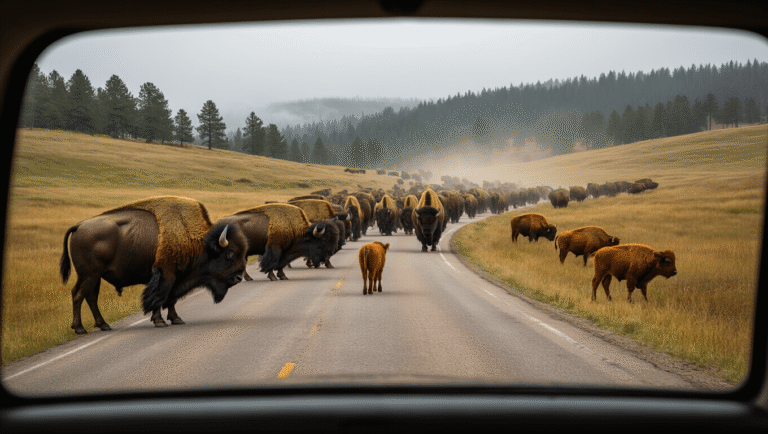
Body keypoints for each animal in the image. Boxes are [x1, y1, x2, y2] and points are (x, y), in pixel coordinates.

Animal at [60, 196, 248, 333]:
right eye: (230, 254)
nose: (239, 277)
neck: (198, 241)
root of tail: (79, 226)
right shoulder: (167, 274)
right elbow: (161, 297)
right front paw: (160, 321)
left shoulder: (176, 278)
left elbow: (171, 299)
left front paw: (176, 319)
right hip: (90, 275)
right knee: (79, 295)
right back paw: (80, 328)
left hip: (92, 276)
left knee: (88, 296)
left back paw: (103, 325)